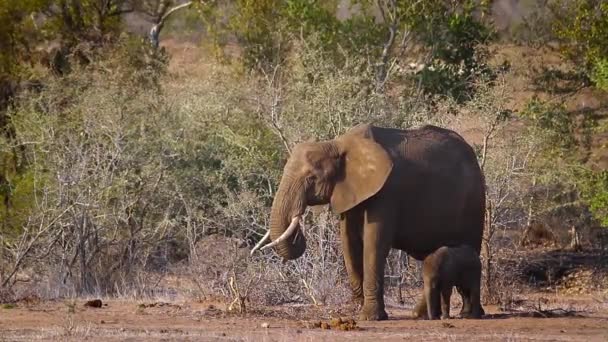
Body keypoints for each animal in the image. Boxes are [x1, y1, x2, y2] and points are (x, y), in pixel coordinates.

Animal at [251, 123, 484, 320]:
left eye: (311, 178)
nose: (299, 233)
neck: (338, 144)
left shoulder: (387, 191)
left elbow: (374, 243)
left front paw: (369, 317)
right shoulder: (349, 190)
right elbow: (349, 241)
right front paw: (355, 308)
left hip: (474, 202)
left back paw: (468, 315)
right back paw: (421, 315)